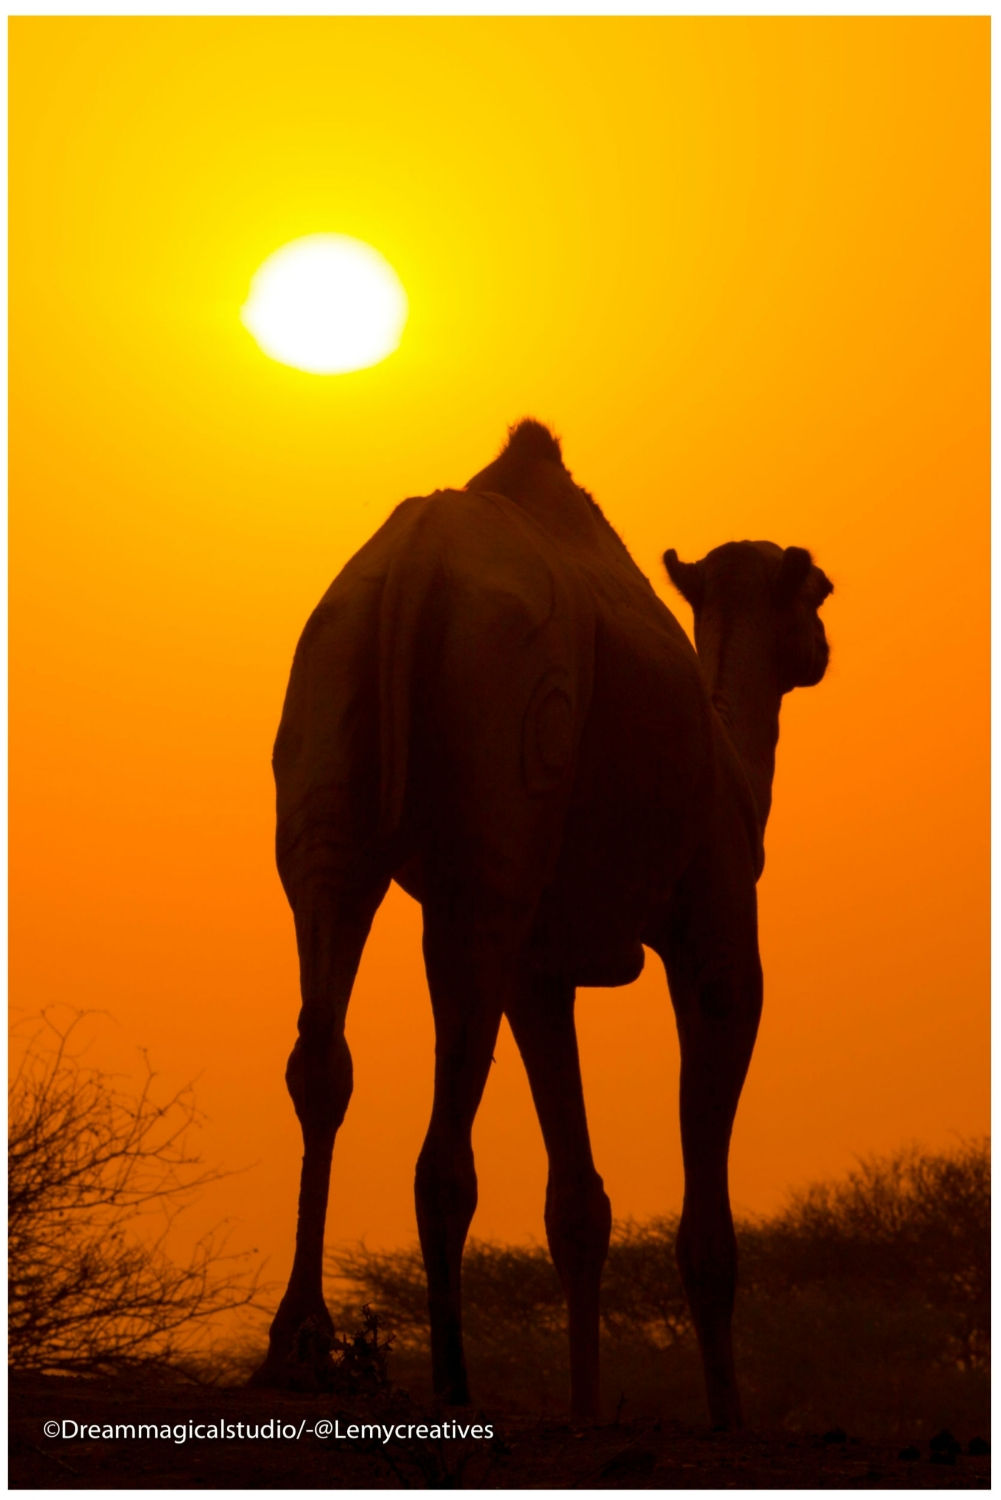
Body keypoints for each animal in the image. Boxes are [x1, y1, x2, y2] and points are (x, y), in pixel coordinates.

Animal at [256, 420, 833, 1427]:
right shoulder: (718, 916)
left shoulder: (543, 969)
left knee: (321, 1039)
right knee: (443, 1132)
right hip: (504, 764)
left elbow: (577, 1205)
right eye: (818, 593)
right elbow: (704, 1193)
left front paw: (586, 1408)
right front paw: (723, 1412)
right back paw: (449, 1382)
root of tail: (413, 561)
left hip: (325, 739)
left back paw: (299, 1349)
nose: (824, 644)